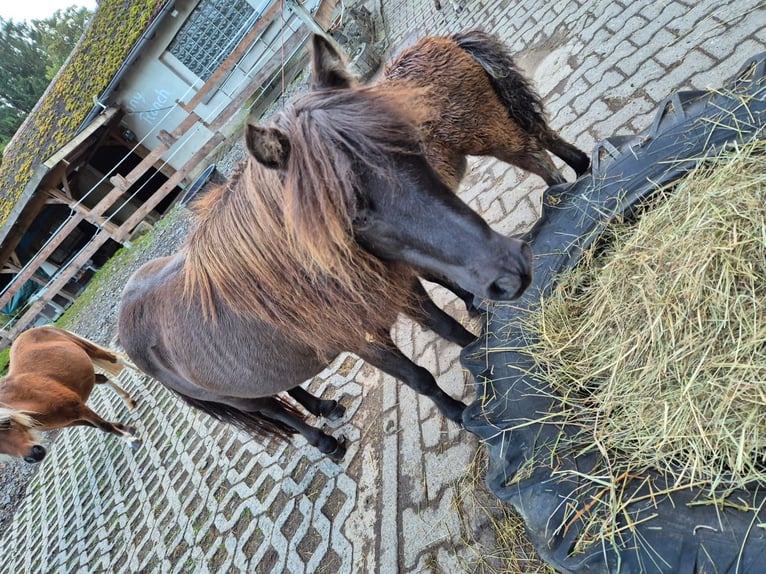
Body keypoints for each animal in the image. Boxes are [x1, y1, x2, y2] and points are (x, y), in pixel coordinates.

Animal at [0, 326, 139, 463]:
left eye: (7, 423)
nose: (34, 456)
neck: (27, 398)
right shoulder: (70, 421)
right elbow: (97, 426)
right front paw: (125, 428)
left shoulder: (77, 406)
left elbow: (105, 426)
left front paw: (132, 441)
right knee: (102, 378)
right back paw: (128, 400)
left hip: (90, 350)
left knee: (116, 358)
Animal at [117, 62, 534, 461]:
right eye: (352, 212)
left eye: (412, 146)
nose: (510, 269)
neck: (297, 275)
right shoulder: (362, 341)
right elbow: (418, 377)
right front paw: (458, 413)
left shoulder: (398, 288)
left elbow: (449, 328)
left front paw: (483, 352)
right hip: (236, 398)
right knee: (273, 410)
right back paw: (324, 442)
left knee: (288, 387)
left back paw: (324, 407)